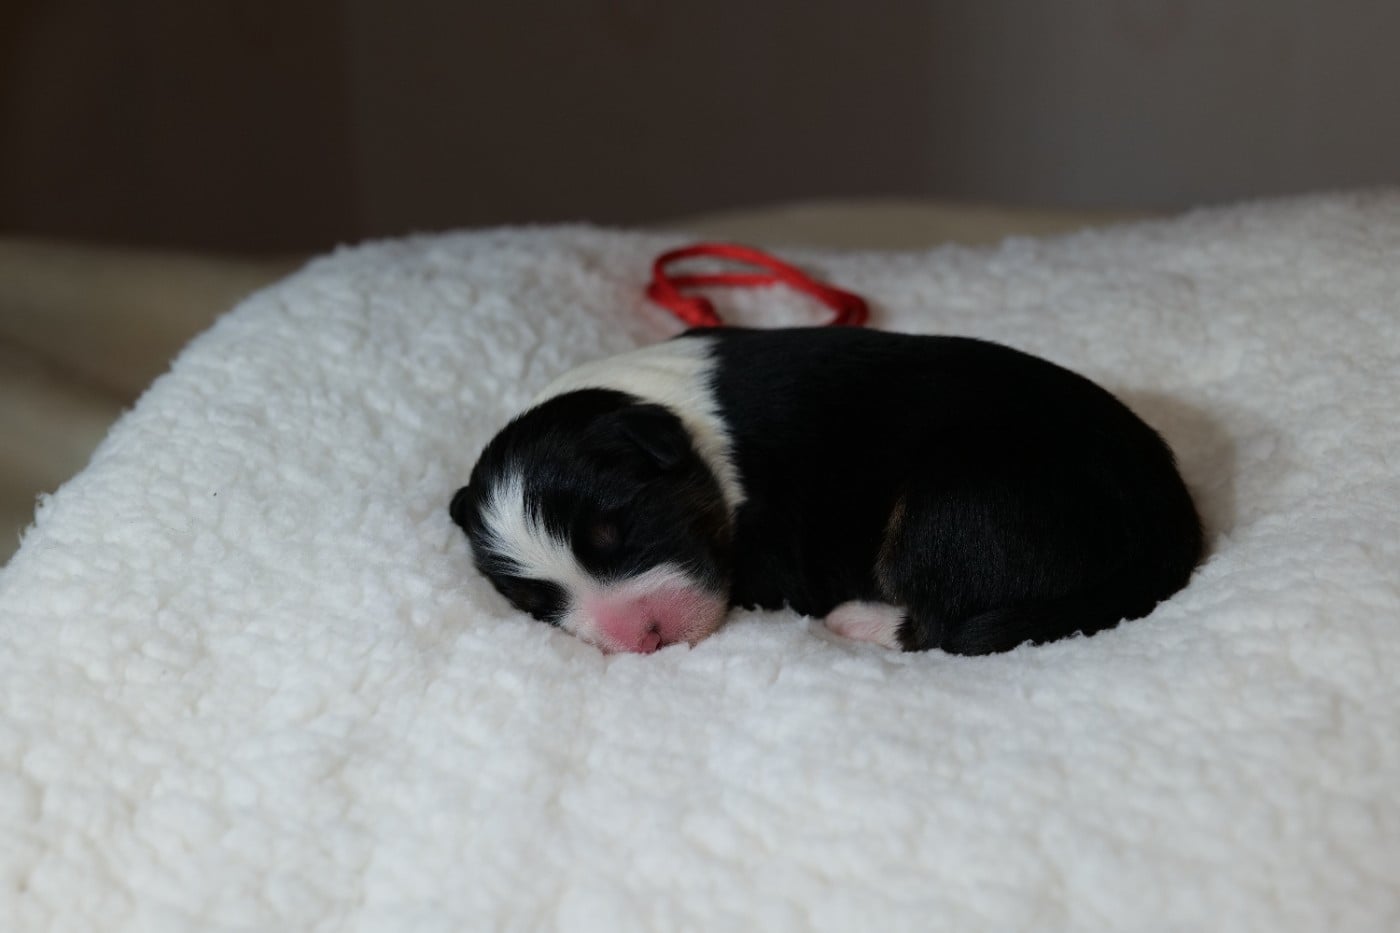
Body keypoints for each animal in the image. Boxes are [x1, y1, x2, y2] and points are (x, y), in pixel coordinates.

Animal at [450, 327, 1203, 655]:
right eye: (533, 601)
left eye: (620, 531)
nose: (646, 639)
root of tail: (1170, 530)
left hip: (953, 507)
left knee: (941, 625)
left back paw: (858, 621)